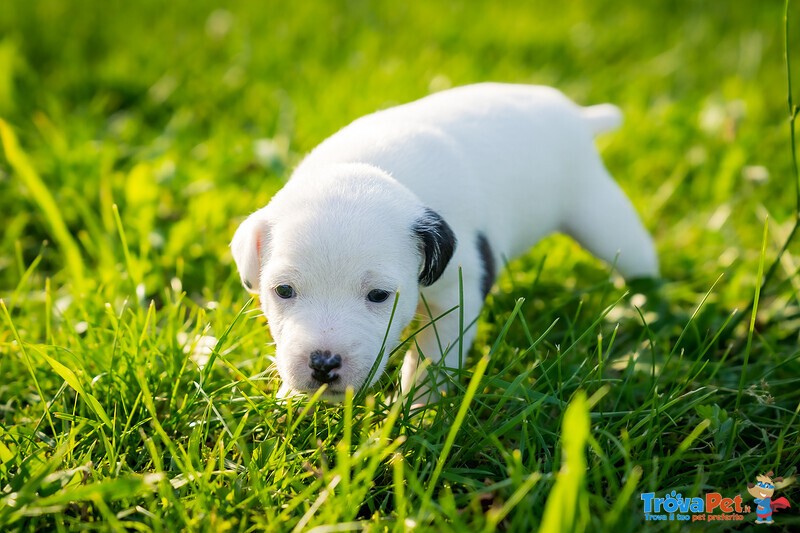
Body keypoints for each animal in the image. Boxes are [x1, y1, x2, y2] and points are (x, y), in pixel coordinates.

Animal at [230, 82, 656, 400]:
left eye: (379, 296)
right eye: (283, 291)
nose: (323, 364)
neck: (373, 168)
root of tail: (578, 117)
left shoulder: (456, 296)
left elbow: (432, 360)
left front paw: (418, 409)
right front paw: (289, 400)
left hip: (600, 215)